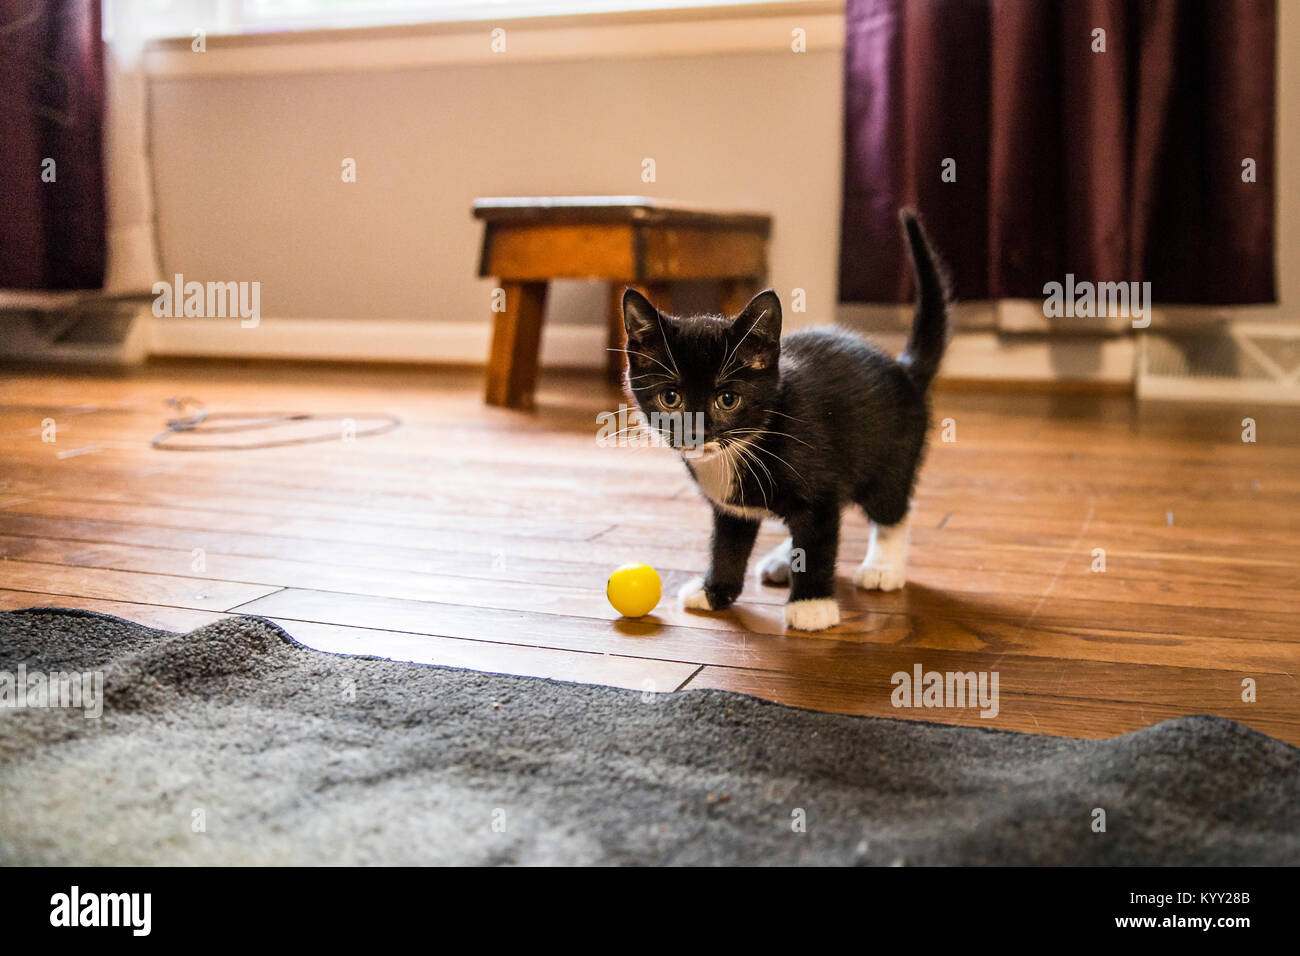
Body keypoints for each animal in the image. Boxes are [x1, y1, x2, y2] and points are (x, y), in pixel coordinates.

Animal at [618, 208, 946, 634]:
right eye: (670, 398)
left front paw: (811, 605)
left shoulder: (820, 486)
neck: (750, 442)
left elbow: (818, 542)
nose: (696, 432)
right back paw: (782, 560)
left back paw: (883, 566)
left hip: (890, 456)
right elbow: (727, 545)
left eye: (727, 399)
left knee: (892, 508)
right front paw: (714, 592)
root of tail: (903, 369)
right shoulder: (734, 507)